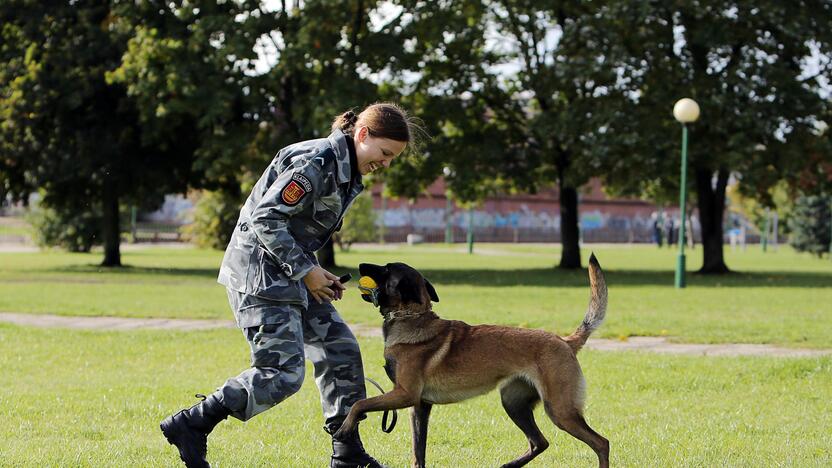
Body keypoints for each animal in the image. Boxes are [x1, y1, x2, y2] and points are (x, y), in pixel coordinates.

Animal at [334, 254, 612, 466]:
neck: (412, 316)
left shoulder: (405, 395)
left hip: (559, 410)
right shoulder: (419, 406)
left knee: (601, 443)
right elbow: (418, 451)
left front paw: (345, 428)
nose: (360, 265)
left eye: (386, 269)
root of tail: (565, 341)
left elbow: (359, 403)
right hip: (514, 403)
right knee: (539, 442)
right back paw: (509, 465)